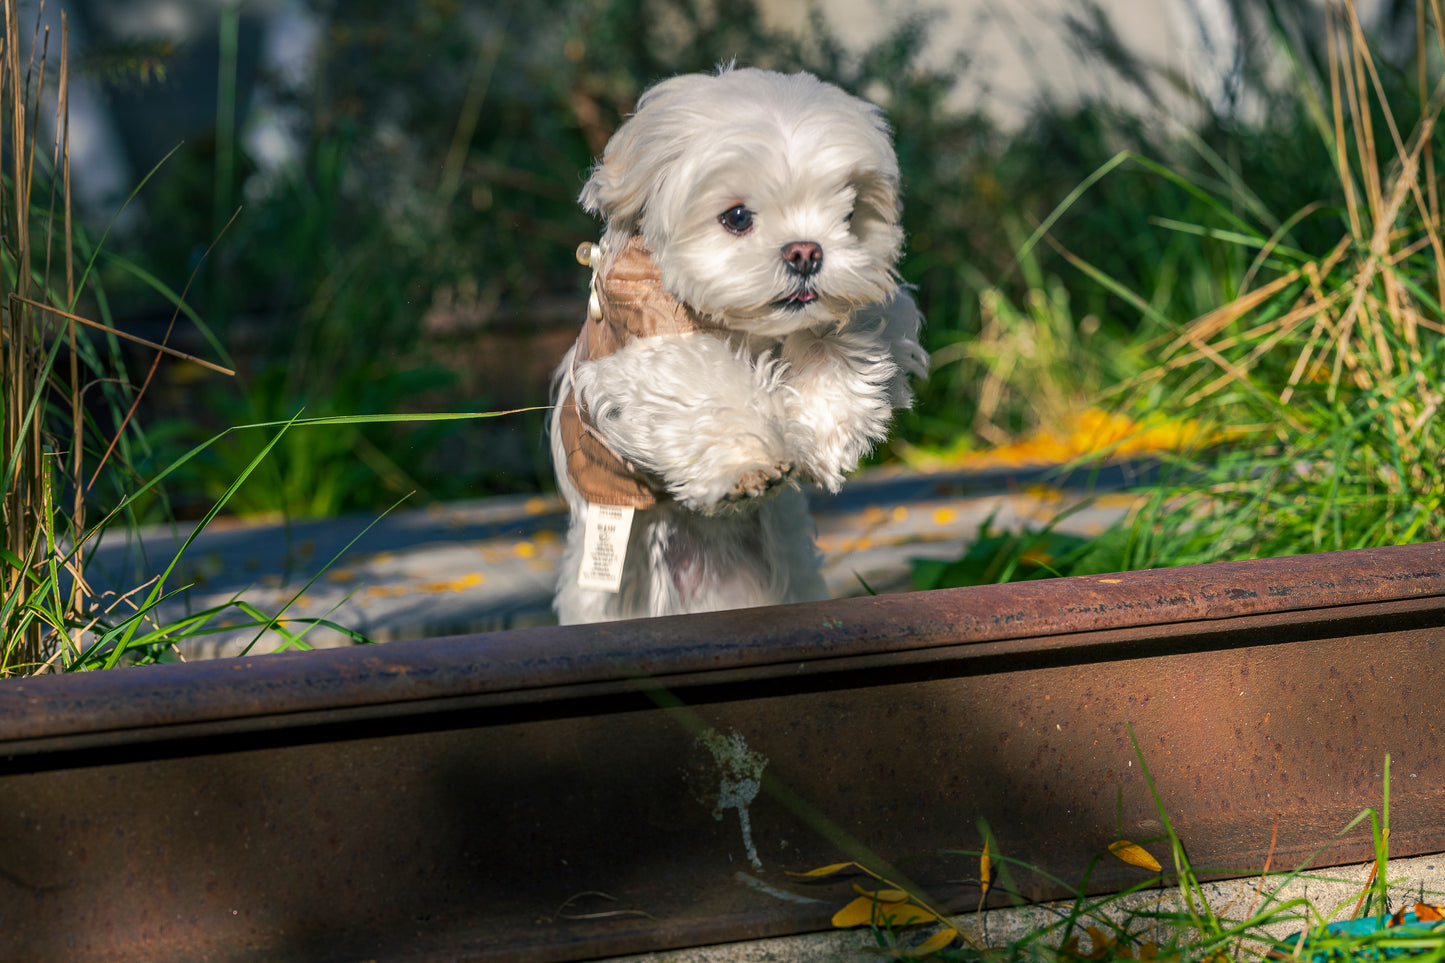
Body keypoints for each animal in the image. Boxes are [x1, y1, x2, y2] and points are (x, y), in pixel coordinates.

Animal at [546, 67, 930, 621]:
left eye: (851, 212)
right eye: (737, 217)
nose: (806, 251)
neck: (748, 327)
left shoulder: (879, 305)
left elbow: (848, 330)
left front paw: (822, 435)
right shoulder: (646, 345)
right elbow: (705, 387)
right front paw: (750, 462)